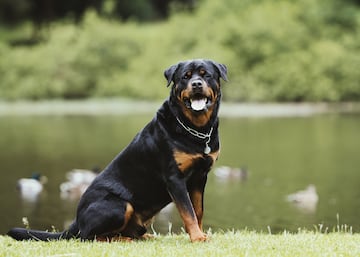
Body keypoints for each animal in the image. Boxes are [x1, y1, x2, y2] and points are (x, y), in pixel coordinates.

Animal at [7, 58, 228, 242]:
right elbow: (188, 212)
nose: (196, 84)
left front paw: (200, 234)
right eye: (185, 77)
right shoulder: (175, 178)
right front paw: (197, 237)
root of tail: (77, 220)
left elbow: (197, 210)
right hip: (120, 205)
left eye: (206, 74)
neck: (197, 129)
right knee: (88, 236)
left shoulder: (199, 177)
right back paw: (121, 239)